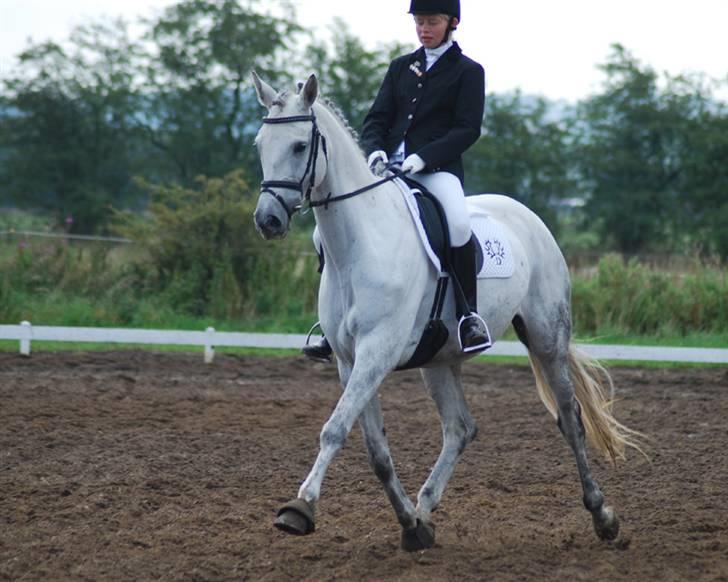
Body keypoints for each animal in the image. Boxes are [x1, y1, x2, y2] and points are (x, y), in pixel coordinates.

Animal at [252, 72, 644, 552]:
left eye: (299, 146)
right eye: (260, 144)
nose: (268, 220)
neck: (360, 243)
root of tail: (529, 216)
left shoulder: (377, 352)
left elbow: (334, 429)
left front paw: (300, 508)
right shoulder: (349, 360)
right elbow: (376, 451)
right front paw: (410, 525)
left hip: (547, 337)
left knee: (570, 420)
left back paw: (602, 515)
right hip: (439, 358)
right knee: (461, 427)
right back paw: (424, 510)